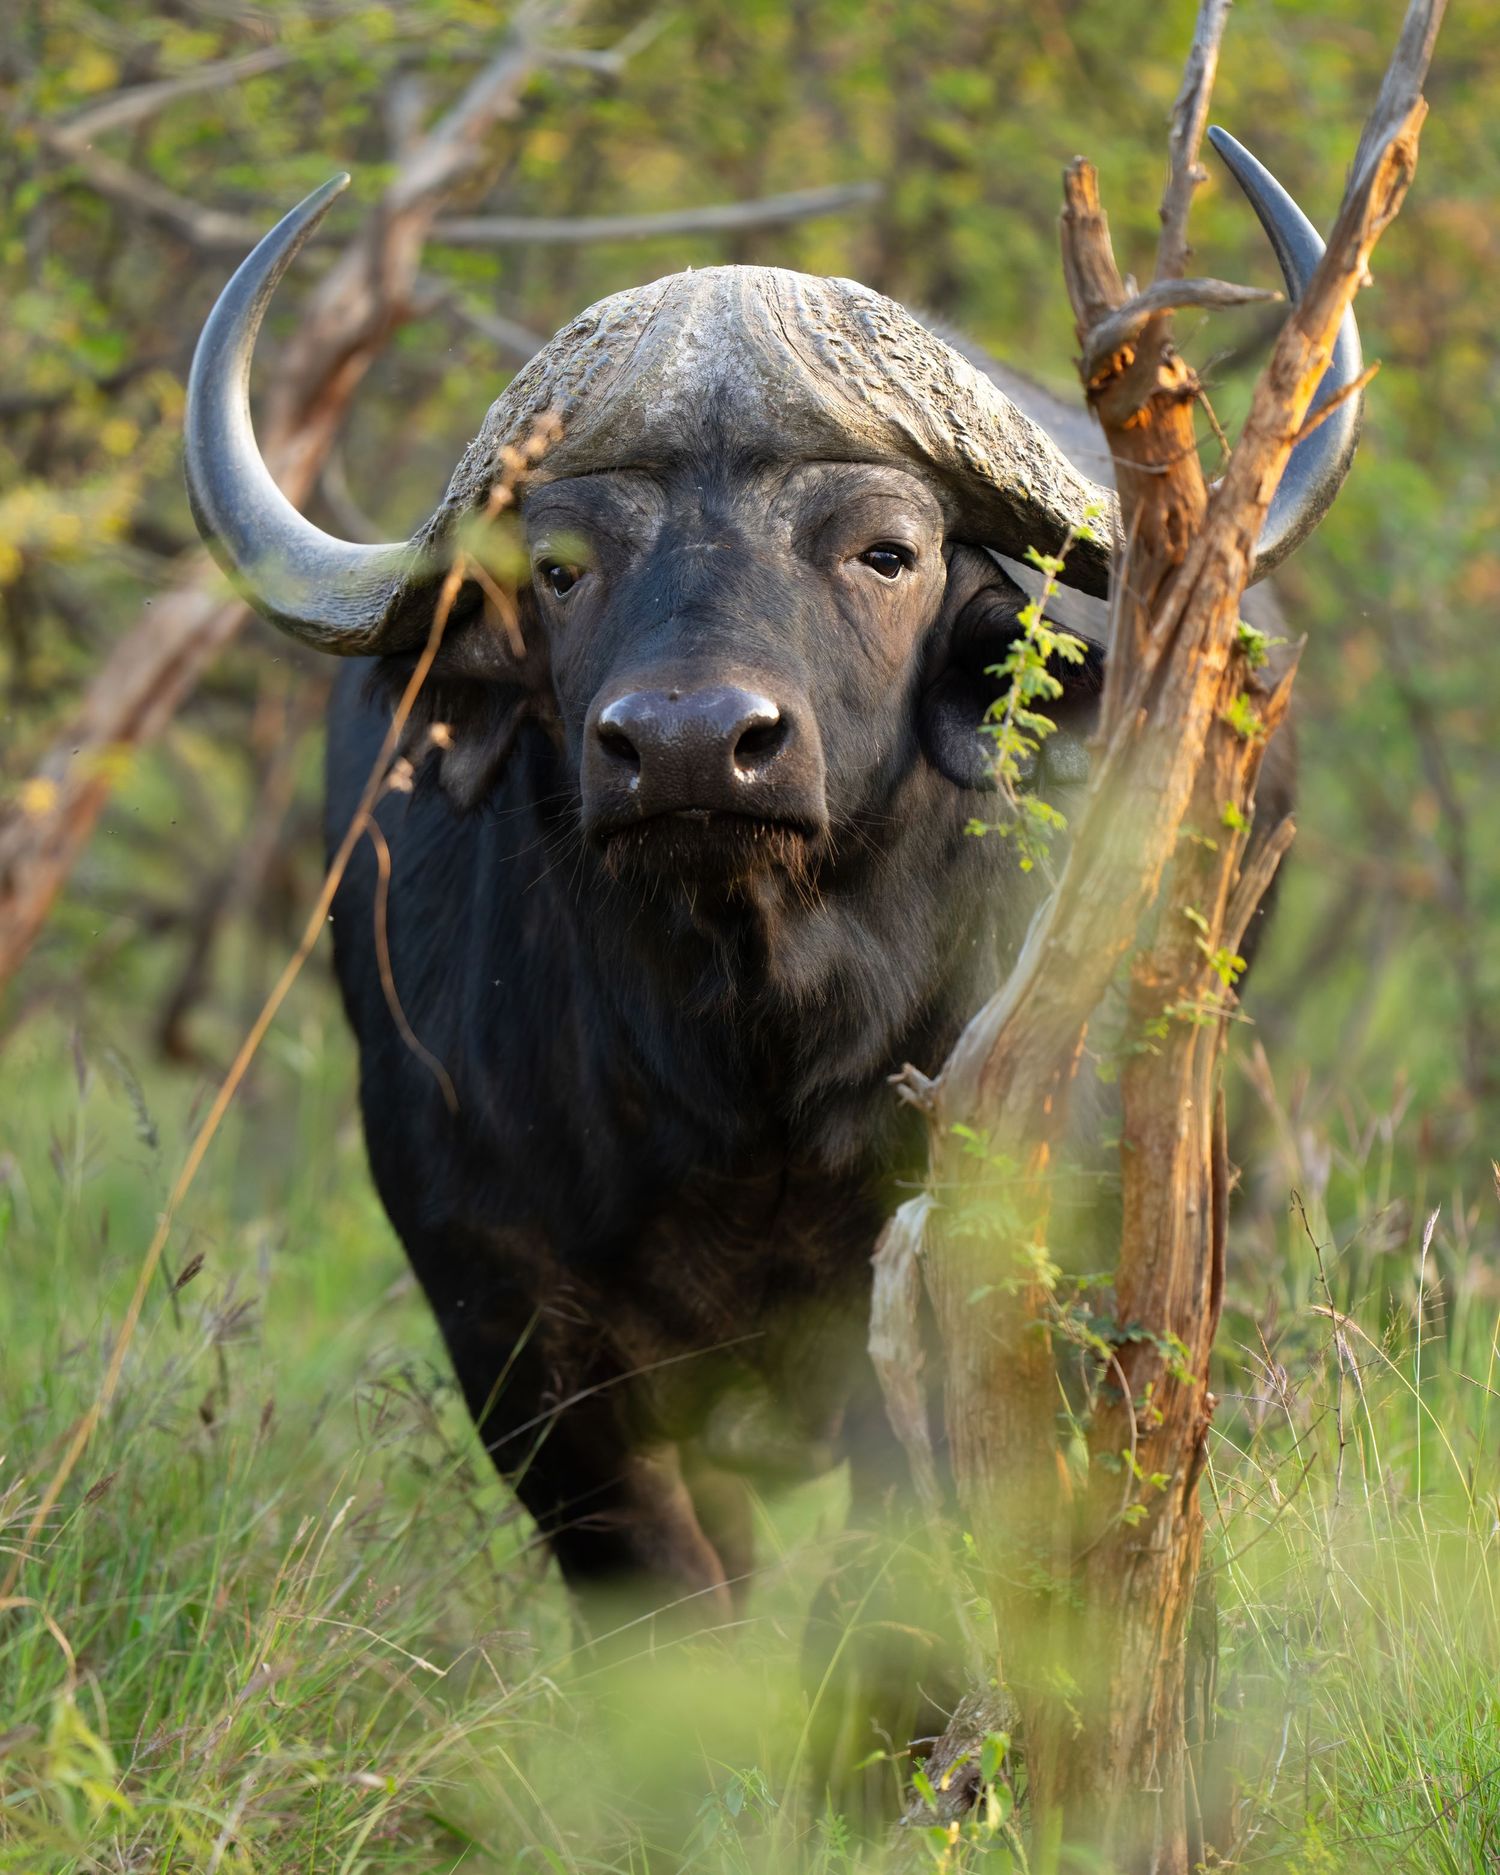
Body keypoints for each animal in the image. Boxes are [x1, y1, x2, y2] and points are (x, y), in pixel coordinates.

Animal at [183, 132, 1360, 1633]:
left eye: (886, 551)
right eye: (559, 567)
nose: (691, 744)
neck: (748, 1065)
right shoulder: (513, 1331)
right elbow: (671, 1595)